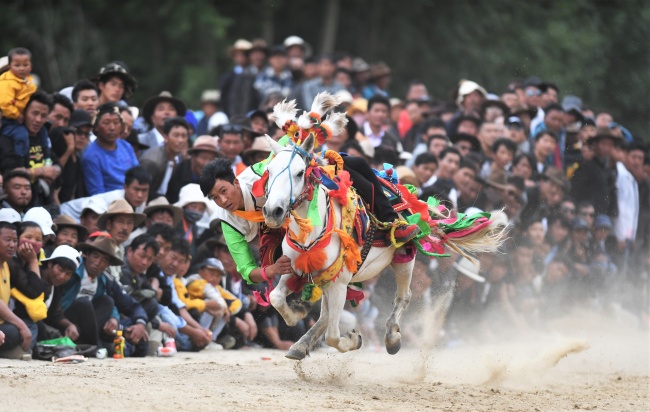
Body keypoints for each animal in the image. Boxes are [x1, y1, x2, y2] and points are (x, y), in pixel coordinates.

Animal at [261, 133, 505, 360]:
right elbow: (276, 298)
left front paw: (353, 339)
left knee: (403, 297)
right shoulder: (296, 270)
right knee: (325, 316)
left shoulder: (339, 282)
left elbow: (332, 336)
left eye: (300, 173)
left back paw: (392, 338)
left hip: (404, 258)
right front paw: (298, 312)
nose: (273, 211)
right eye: (269, 171)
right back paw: (300, 346)